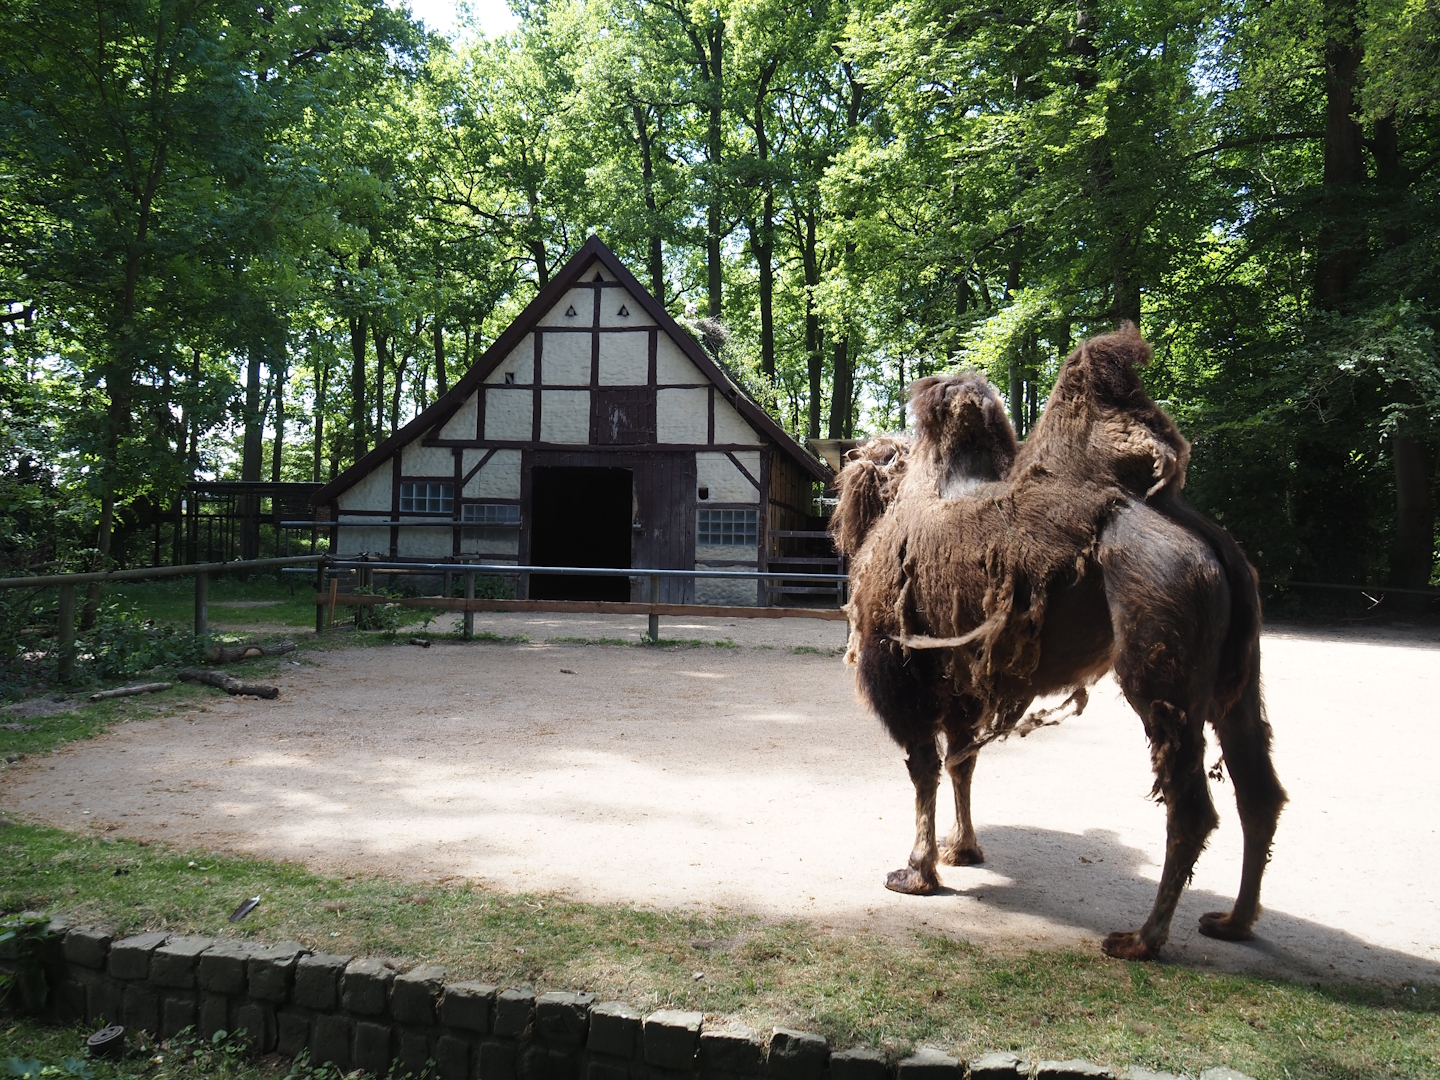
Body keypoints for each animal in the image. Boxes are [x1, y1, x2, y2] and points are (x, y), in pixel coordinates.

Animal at [834, 327, 1286, 960]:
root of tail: (1210, 547)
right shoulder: (965, 679)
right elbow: (963, 761)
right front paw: (962, 850)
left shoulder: (903, 672)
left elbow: (924, 767)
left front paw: (916, 872)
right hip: (1238, 672)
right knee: (1257, 788)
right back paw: (1233, 921)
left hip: (1159, 661)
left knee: (1191, 802)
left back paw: (1141, 939)